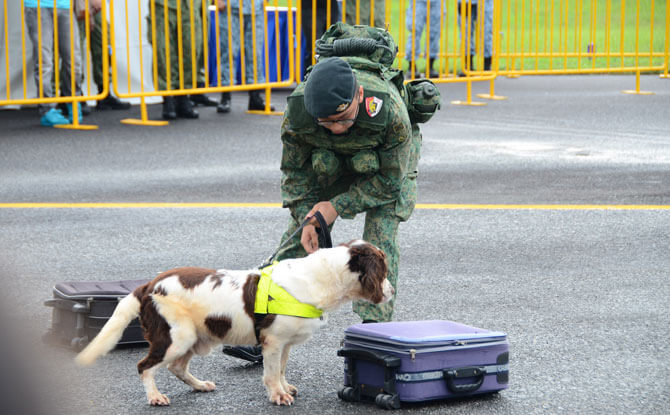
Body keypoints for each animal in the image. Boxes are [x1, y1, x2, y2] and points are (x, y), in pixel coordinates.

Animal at [75, 240, 394, 406]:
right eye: (383, 271)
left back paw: (200, 385)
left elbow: (280, 369)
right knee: (145, 366)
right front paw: (278, 396)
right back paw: (155, 397)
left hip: (195, 336)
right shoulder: (272, 341)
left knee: (176, 367)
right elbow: (270, 373)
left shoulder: (285, 343)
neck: (316, 279)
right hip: (176, 336)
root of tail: (148, 286)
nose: (392, 292)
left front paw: (285, 388)